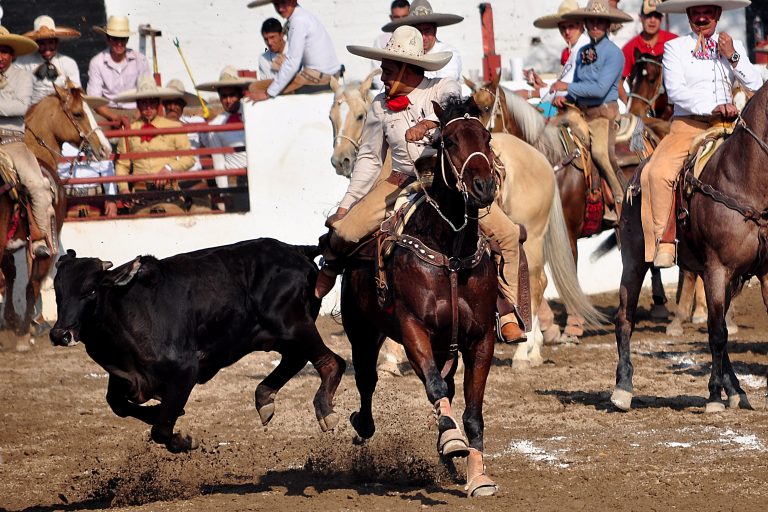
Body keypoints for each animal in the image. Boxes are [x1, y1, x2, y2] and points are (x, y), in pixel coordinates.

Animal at [0, 84, 111, 350]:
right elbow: (31, 284)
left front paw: (14, 321)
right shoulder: (43, 243)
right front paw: (24, 331)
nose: (105, 148)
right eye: (78, 113)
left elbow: (11, 275)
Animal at [48, 240, 344, 452]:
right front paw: (160, 412)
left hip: (293, 325)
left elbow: (161, 429)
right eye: (58, 292)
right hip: (276, 335)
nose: (60, 334)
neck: (126, 310)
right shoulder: (126, 377)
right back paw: (265, 398)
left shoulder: (185, 371)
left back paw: (324, 411)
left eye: (91, 291)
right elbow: (118, 404)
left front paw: (184, 440)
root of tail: (296, 250)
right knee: (296, 359)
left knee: (333, 362)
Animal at [344, 98, 500, 498]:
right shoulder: (413, 328)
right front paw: (451, 440)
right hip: (362, 332)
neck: (451, 254)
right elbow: (433, 385)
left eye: (487, 137)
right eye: (449, 141)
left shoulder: (480, 338)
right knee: (367, 379)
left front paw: (478, 476)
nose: (483, 185)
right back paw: (363, 424)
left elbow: (473, 414)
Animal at [612, 82, 768, 414]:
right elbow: (717, 333)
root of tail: (635, 175)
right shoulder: (716, 269)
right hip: (634, 262)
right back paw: (622, 388)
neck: (745, 183)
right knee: (624, 319)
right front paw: (713, 396)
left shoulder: (764, 273)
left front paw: (724, 392)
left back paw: (737, 391)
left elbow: (720, 330)